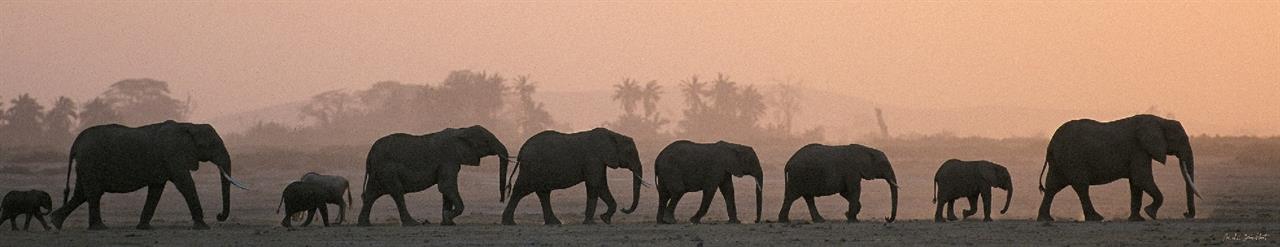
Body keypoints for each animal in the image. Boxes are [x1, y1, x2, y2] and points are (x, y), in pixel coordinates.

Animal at [48, 120, 247, 230]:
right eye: (212, 145)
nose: (219, 216)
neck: (189, 125)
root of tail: (76, 143)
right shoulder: (172, 153)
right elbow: (185, 183)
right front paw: (204, 227)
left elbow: (156, 189)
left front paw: (144, 228)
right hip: (91, 162)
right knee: (93, 194)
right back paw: (100, 228)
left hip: (85, 165)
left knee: (81, 194)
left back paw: (55, 222)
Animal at [358, 125, 506, 225]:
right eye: (486, 141)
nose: (501, 200)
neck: (461, 130)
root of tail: (370, 153)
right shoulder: (448, 158)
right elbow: (446, 186)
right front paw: (447, 217)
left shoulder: (451, 161)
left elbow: (446, 190)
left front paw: (447, 222)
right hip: (387, 169)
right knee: (397, 192)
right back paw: (413, 224)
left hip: (378, 171)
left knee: (371, 194)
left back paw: (364, 224)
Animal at [499, 128, 640, 225]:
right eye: (630, 152)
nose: (624, 209)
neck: (614, 135)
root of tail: (522, 149)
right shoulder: (593, 159)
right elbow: (595, 185)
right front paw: (592, 222)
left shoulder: (598, 162)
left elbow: (600, 185)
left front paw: (605, 219)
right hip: (531, 168)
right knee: (521, 190)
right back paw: (509, 223)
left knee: (543, 193)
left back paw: (554, 223)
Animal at [1034, 114, 1203, 221]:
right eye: (1180, 139)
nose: (1186, 214)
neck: (1160, 120)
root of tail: (1050, 144)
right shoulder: (1138, 149)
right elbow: (1141, 178)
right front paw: (1151, 214)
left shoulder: (1140, 151)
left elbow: (1136, 184)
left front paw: (1138, 219)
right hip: (1072, 159)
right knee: (1081, 186)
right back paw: (1096, 218)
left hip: (1061, 161)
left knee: (1052, 186)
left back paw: (1045, 219)